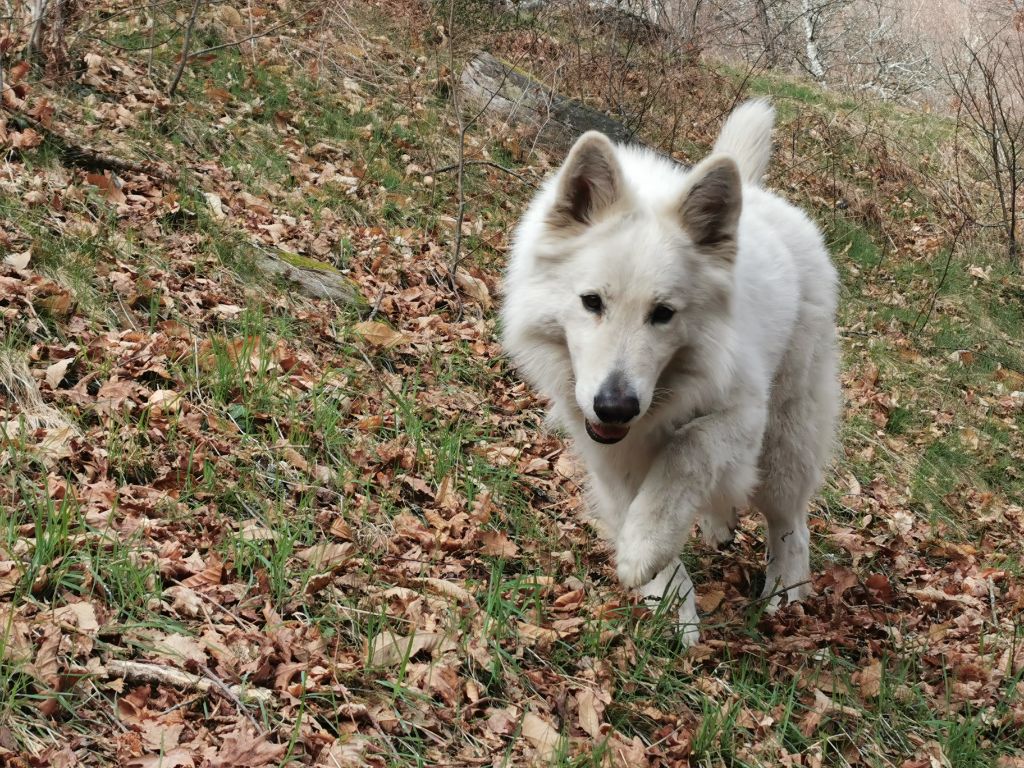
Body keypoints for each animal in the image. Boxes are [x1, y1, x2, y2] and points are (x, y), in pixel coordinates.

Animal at [497, 100, 839, 643]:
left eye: (663, 314)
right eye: (591, 302)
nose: (615, 407)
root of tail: (758, 194)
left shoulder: (742, 418)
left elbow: (686, 450)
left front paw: (645, 547)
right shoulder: (610, 456)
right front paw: (670, 603)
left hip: (784, 446)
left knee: (792, 526)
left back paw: (786, 594)